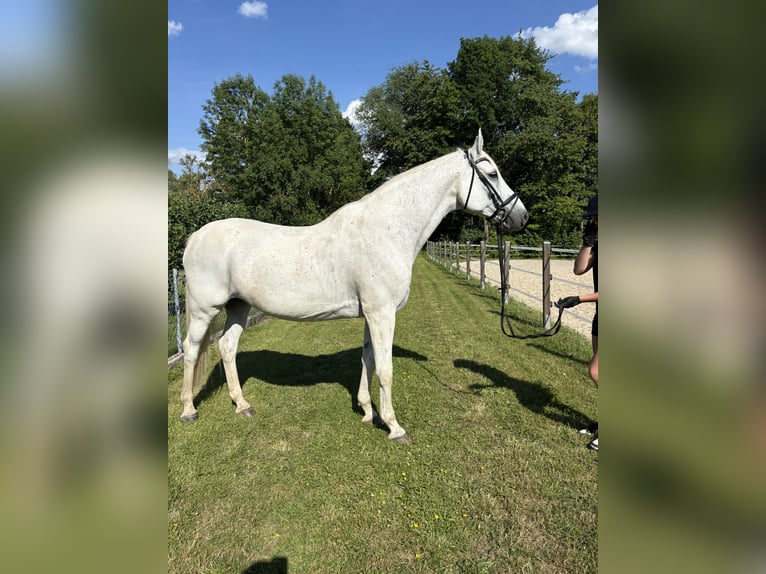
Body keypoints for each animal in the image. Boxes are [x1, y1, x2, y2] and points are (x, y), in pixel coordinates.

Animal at [180, 130, 528, 443]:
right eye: (492, 174)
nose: (521, 217)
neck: (385, 230)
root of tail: (194, 237)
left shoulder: (372, 315)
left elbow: (368, 360)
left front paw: (367, 412)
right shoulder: (382, 314)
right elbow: (385, 369)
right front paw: (394, 427)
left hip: (238, 306)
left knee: (227, 347)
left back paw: (242, 405)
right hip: (204, 310)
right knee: (191, 350)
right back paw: (188, 410)